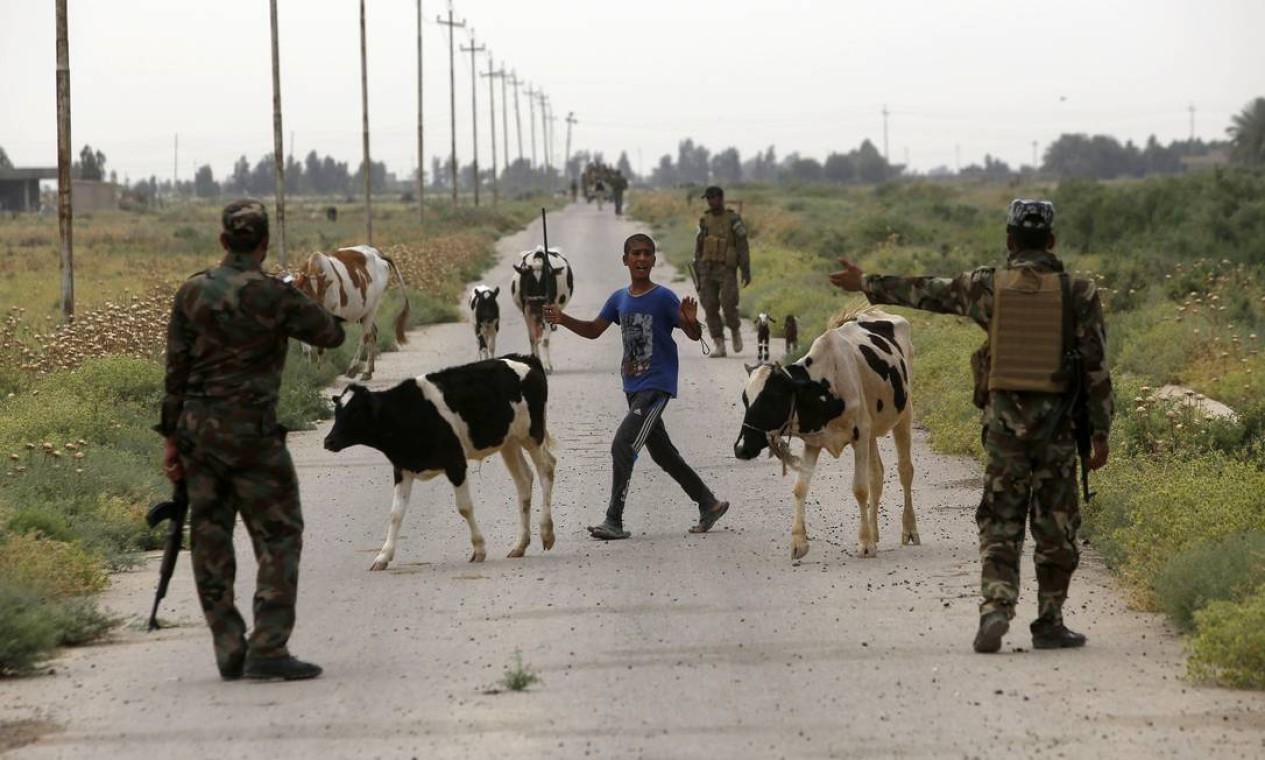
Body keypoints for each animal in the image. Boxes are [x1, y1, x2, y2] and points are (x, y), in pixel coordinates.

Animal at [290, 244, 409, 379]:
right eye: (305, 291)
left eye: (323, 292)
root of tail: (376, 252)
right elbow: (306, 349)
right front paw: (307, 372)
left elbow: (322, 347)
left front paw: (319, 370)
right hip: (363, 311)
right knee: (372, 333)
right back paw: (368, 371)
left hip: (373, 306)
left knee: (365, 336)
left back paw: (353, 368)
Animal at [323, 351, 556, 566]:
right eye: (337, 411)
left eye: (355, 412)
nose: (328, 441)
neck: (407, 413)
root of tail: (524, 358)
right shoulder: (402, 469)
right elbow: (396, 513)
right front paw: (383, 556)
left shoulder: (456, 464)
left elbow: (464, 507)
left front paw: (479, 549)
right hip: (509, 441)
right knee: (524, 480)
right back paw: (520, 545)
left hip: (532, 434)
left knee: (546, 469)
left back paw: (546, 533)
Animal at [733, 304, 920, 558]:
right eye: (745, 399)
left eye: (770, 400)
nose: (741, 448)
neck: (825, 383)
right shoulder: (815, 441)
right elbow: (800, 487)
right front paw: (798, 543)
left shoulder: (859, 437)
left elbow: (860, 489)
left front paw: (864, 542)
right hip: (871, 430)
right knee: (876, 475)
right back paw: (874, 532)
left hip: (904, 414)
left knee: (904, 471)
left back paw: (909, 529)